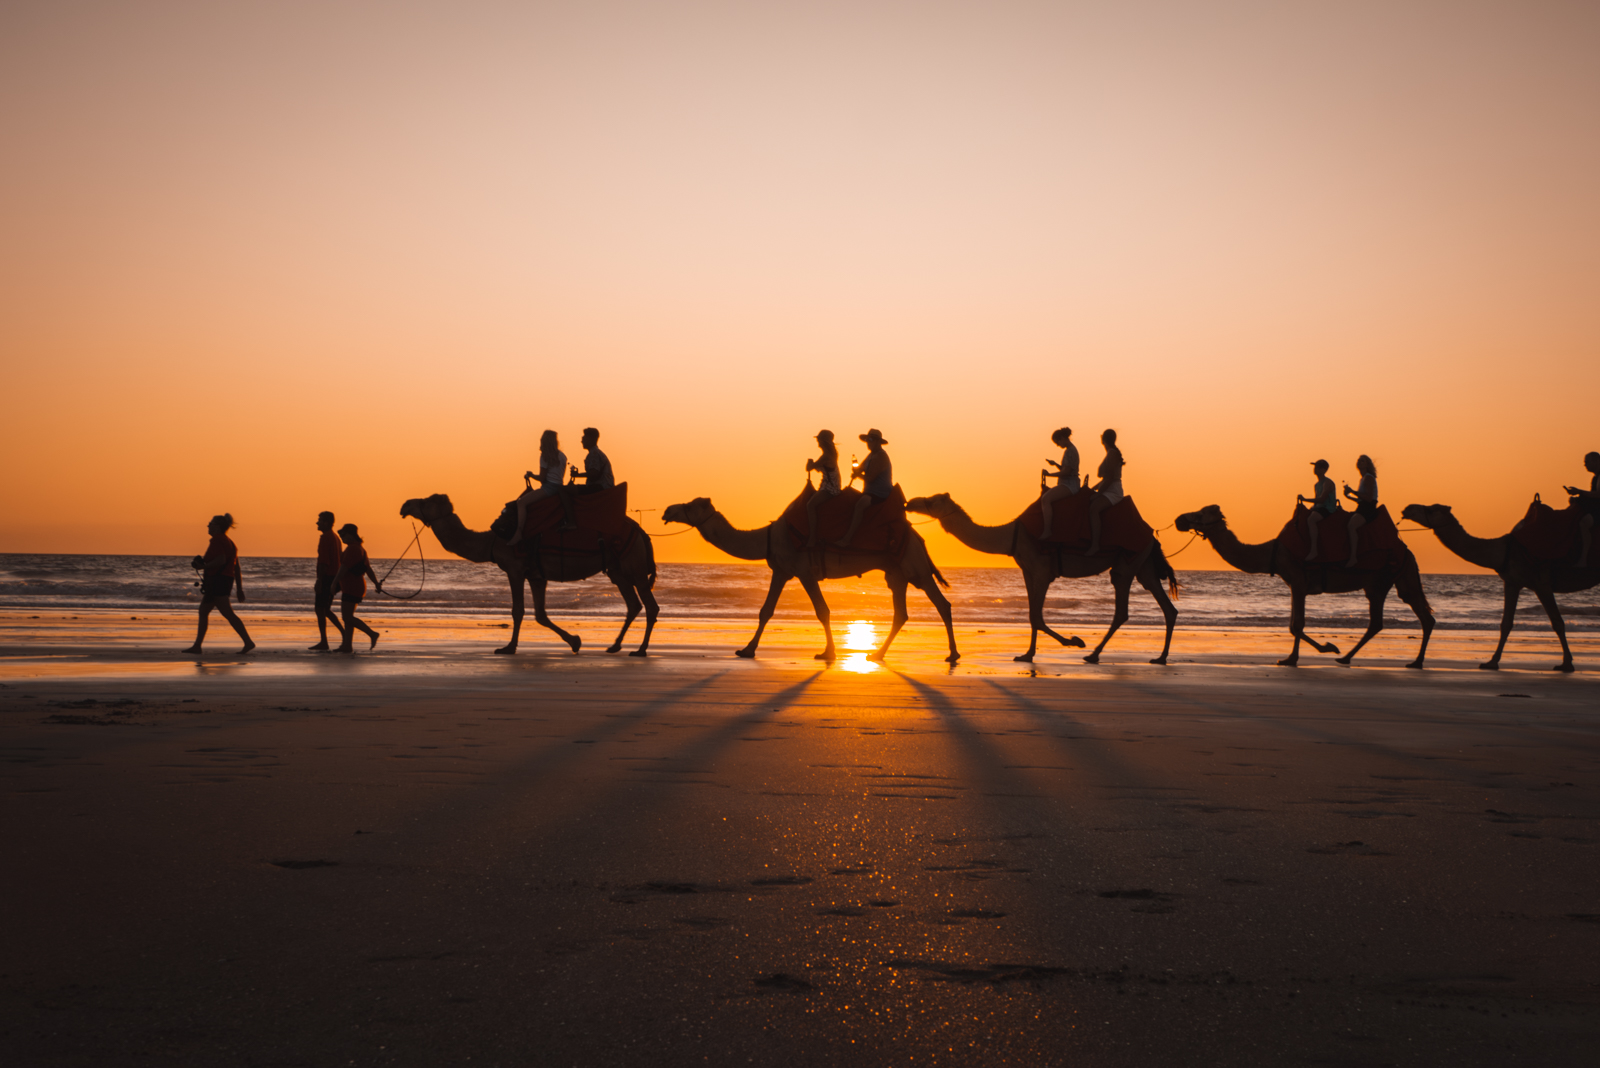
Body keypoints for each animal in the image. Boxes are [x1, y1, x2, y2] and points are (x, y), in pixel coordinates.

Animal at [400, 495, 656, 655]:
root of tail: (640, 531)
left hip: (633, 563)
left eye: (425, 501)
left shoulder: (515, 568)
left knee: (650, 605)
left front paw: (508, 648)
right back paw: (615, 646)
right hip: (617, 569)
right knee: (633, 604)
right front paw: (575, 641)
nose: (405, 505)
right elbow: (541, 614)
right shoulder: (536, 575)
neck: (492, 541)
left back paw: (641, 650)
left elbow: (518, 610)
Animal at [656, 498, 953, 661]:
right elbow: (766, 611)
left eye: (690, 505)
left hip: (915, 567)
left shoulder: (805, 571)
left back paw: (952, 654)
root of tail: (919, 538)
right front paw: (747, 650)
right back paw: (877, 654)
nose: (668, 510)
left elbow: (822, 610)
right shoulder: (782, 570)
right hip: (896, 573)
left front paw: (828, 653)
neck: (768, 537)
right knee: (901, 613)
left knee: (942, 604)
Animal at [915, 492, 1177, 658]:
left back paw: (1093, 654)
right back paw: (1161, 657)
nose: (911, 503)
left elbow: (1037, 616)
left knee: (1122, 607)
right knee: (1166, 605)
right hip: (1143, 563)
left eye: (932, 501)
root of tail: (1150, 533)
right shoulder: (1028, 571)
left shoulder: (1041, 571)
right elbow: (1032, 614)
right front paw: (1027, 654)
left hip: (1127, 561)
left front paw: (1074, 641)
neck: (1011, 535)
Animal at [1177, 502, 1440, 668]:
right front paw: (1304, 653)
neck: (1274, 552)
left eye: (1200, 514)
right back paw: (1413, 662)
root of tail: (1407, 550)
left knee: (1381, 620)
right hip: (1398, 577)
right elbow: (1292, 625)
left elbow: (1296, 625)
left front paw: (1309, 653)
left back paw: (1346, 657)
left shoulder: (1298, 580)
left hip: (1381, 578)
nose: (1179, 519)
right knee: (1418, 615)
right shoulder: (1294, 583)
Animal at [1408, 505, 1593, 671]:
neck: (1505, 550)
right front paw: (1491, 662)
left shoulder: (1542, 584)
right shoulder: (1512, 582)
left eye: (1431, 509)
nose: (1407, 508)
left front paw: (1567, 664)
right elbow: (1506, 623)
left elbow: (1557, 623)